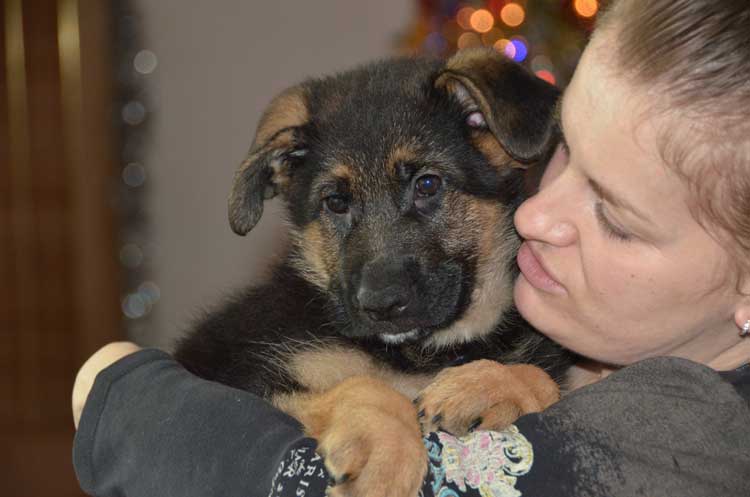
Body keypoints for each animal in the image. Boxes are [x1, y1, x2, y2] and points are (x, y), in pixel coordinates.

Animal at [176, 48, 572, 496]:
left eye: (428, 184)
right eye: (335, 202)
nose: (380, 306)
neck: (418, 356)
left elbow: (542, 378)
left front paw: (483, 386)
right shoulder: (240, 377)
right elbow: (366, 387)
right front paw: (386, 456)